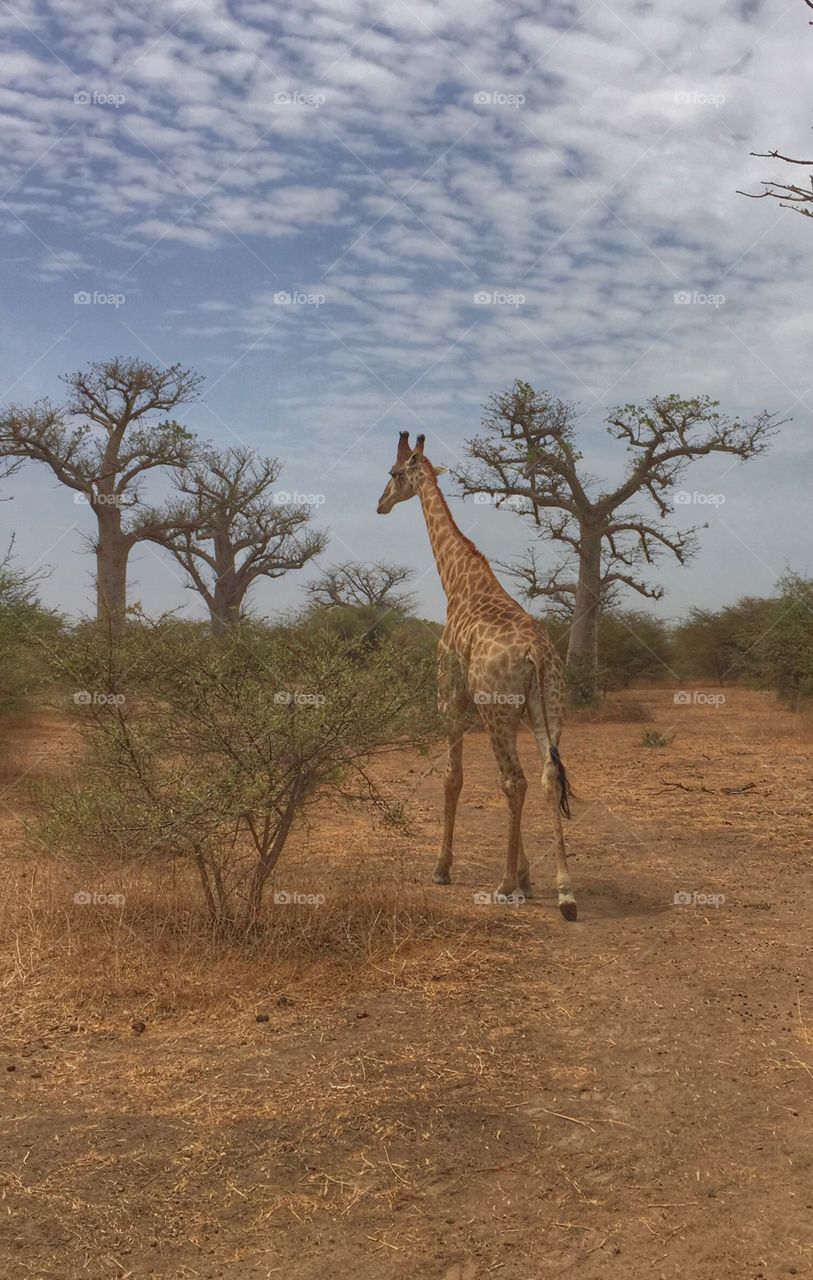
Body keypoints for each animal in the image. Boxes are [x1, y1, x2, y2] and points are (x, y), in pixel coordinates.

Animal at [376, 435, 578, 916]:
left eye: (393, 472)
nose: (380, 504)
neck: (458, 582)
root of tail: (537, 653)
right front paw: (528, 878)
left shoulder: (450, 697)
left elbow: (453, 778)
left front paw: (442, 869)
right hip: (548, 708)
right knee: (548, 777)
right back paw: (565, 890)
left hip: (496, 712)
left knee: (515, 781)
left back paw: (503, 885)